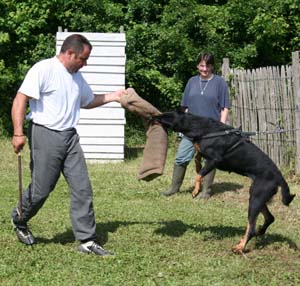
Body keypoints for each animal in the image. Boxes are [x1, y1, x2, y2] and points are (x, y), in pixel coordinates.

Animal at [152, 110, 296, 254]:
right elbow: (198, 159)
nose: (153, 116)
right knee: (269, 218)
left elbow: (199, 174)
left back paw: (240, 247)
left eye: (165, 115)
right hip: (257, 196)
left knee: (251, 227)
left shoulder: (214, 160)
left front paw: (196, 190)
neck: (203, 127)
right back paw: (259, 232)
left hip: (256, 198)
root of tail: (280, 177)